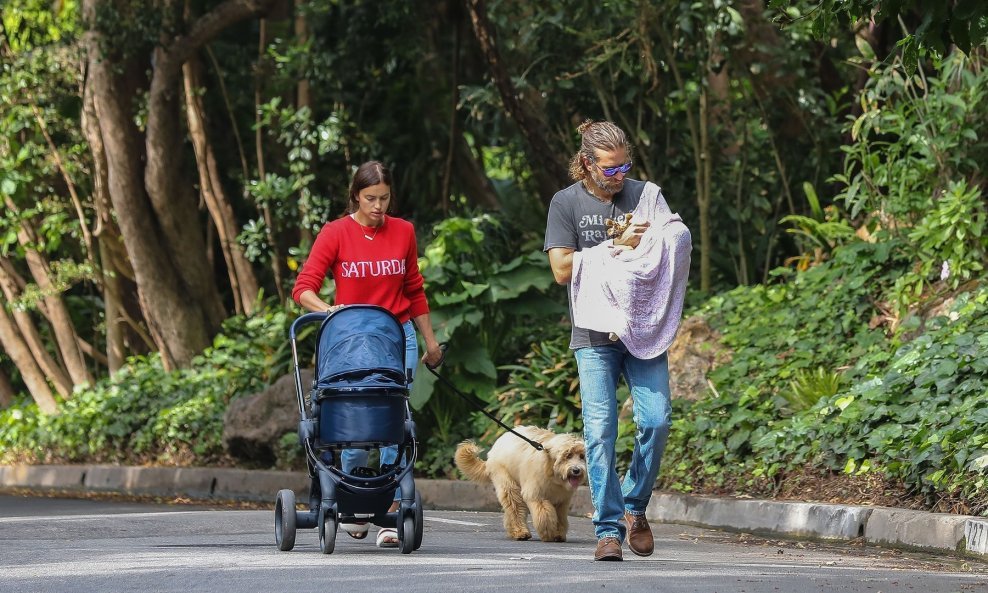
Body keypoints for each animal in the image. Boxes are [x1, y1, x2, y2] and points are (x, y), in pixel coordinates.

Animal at [456, 426, 588, 540]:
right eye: (568, 456)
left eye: (582, 456)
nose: (576, 470)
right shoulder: (536, 495)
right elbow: (544, 515)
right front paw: (548, 532)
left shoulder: (561, 501)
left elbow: (560, 518)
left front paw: (558, 533)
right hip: (507, 481)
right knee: (515, 507)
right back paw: (520, 532)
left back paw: (513, 531)